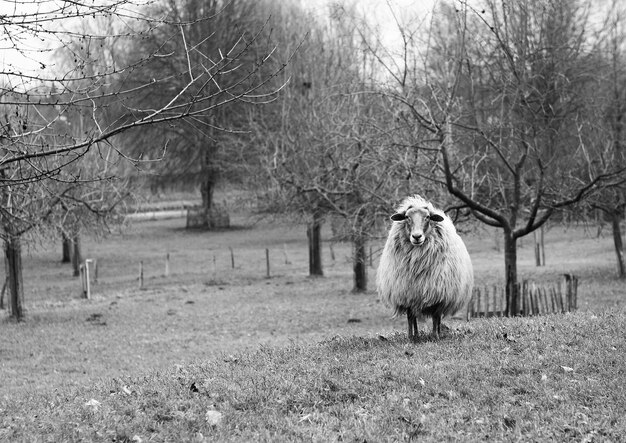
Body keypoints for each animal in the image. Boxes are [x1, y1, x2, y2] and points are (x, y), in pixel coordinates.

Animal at [376, 194, 472, 340]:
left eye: (427, 217)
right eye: (407, 217)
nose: (416, 236)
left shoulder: (438, 293)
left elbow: (435, 317)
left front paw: (435, 336)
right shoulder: (407, 293)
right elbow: (410, 317)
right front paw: (411, 337)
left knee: (437, 318)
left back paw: (438, 332)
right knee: (414, 316)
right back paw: (416, 335)